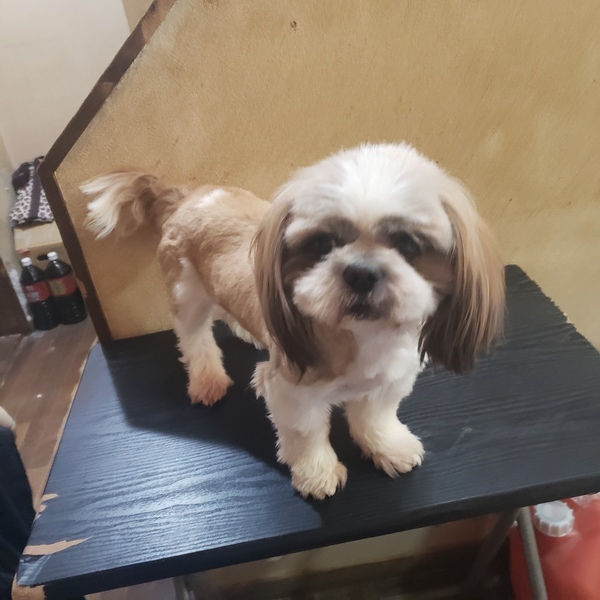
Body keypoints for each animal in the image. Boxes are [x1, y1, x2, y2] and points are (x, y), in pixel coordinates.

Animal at [83, 143, 505, 499]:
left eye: (408, 244)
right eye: (322, 244)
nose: (361, 272)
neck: (362, 338)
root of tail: (190, 196)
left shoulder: (389, 380)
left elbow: (376, 417)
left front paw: (388, 447)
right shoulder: (292, 390)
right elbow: (306, 433)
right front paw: (317, 474)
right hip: (187, 293)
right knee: (195, 337)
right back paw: (207, 379)